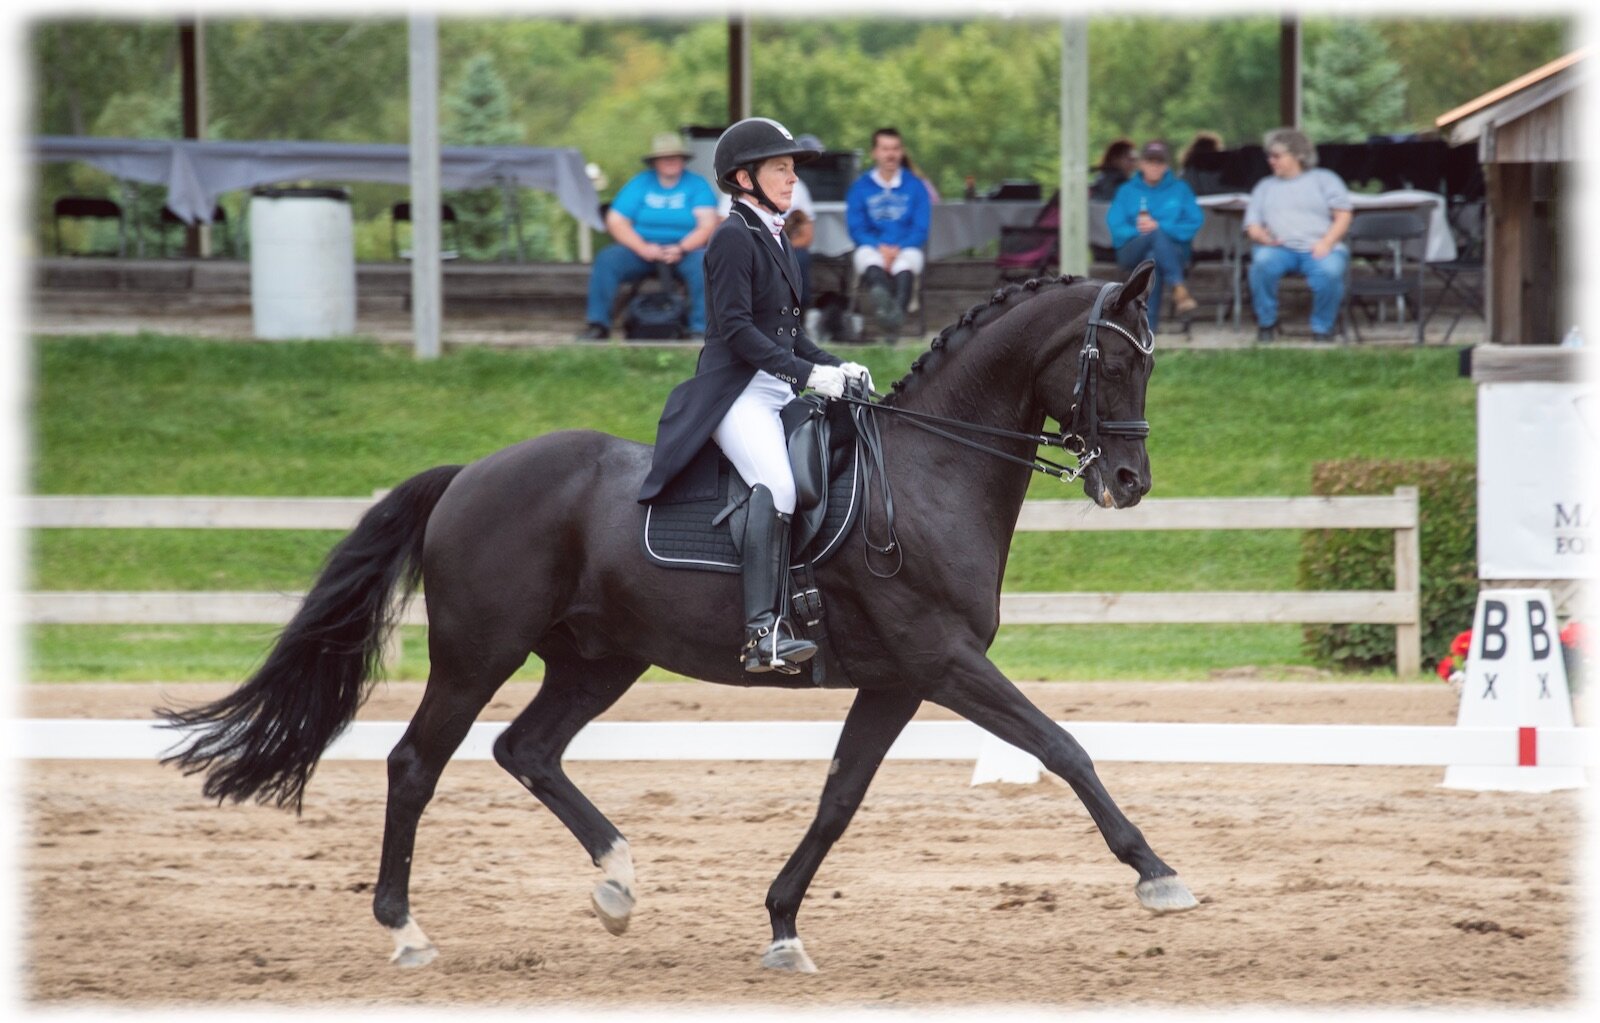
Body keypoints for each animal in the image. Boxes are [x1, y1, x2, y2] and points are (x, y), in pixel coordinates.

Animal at [162, 259, 1196, 973]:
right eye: (1113, 362)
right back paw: (408, 930)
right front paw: (1158, 875)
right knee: (417, 762)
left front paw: (782, 925)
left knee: (527, 750)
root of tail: (469, 474)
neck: (929, 471)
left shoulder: (900, 679)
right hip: (477, 650)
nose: (1129, 480)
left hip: (599, 658)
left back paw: (617, 882)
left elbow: (838, 799)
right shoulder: (942, 659)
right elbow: (1065, 747)